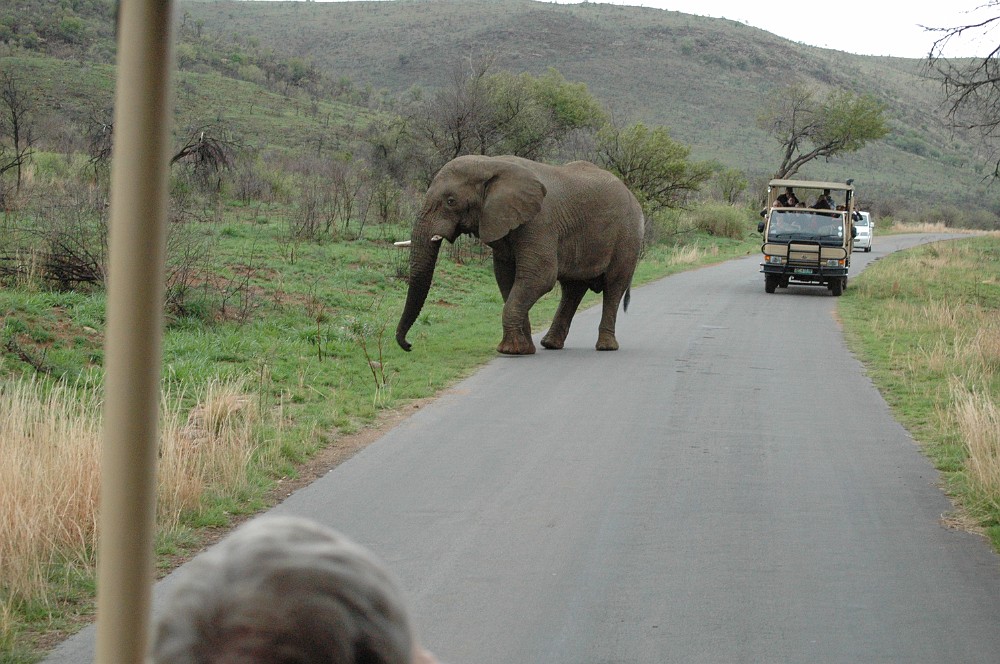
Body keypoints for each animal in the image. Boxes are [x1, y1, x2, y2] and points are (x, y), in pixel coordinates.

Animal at [395, 155, 645, 355]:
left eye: (450, 201)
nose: (408, 345)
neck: (490, 163)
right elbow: (506, 278)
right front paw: (523, 349)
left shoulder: (539, 222)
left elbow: (540, 277)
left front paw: (510, 351)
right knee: (573, 289)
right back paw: (550, 344)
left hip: (628, 237)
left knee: (613, 286)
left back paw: (605, 347)